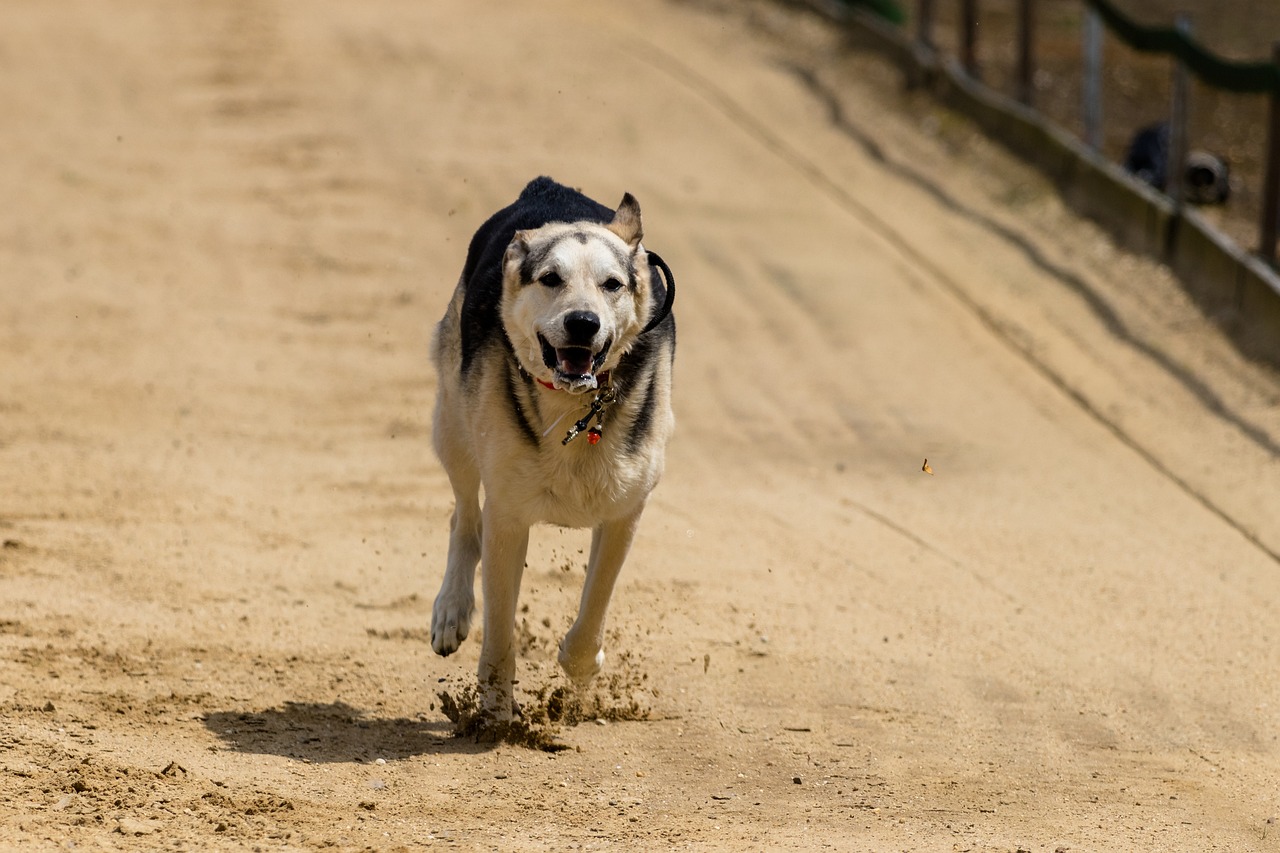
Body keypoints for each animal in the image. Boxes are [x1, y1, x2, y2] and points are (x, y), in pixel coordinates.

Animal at [427, 175, 675, 727]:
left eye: (612, 284)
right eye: (550, 278)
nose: (583, 323)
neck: (576, 404)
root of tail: (549, 186)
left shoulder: (625, 513)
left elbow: (596, 602)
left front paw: (579, 669)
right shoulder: (508, 515)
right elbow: (500, 630)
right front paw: (496, 714)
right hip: (452, 425)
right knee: (463, 517)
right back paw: (451, 610)